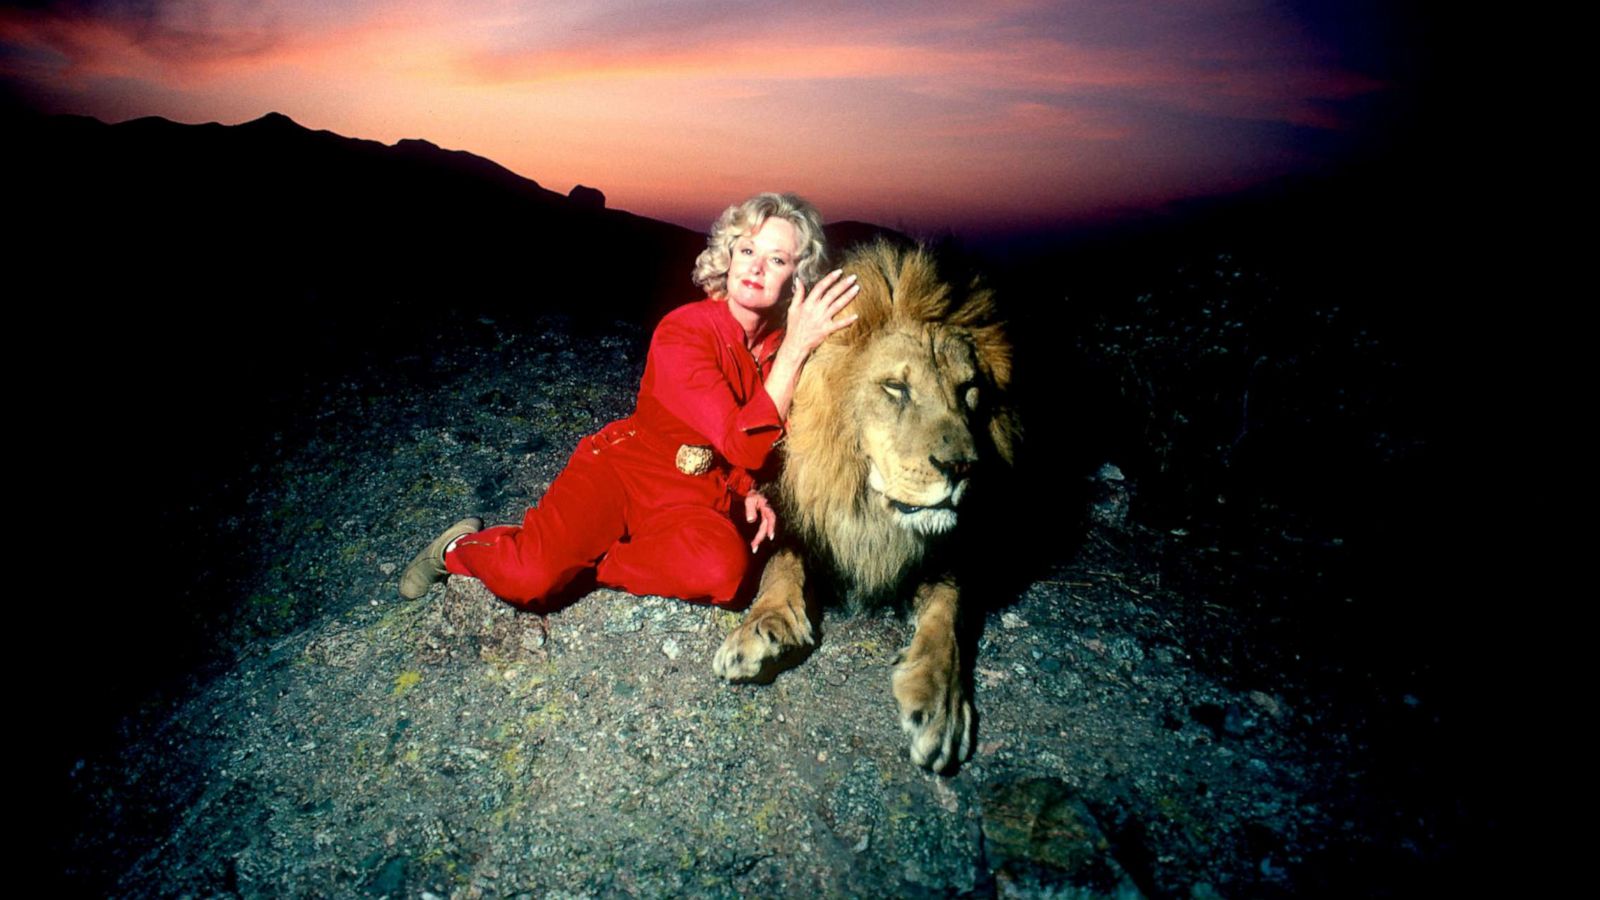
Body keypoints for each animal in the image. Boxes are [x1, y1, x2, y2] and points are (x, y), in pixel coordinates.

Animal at [716, 240, 1017, 771]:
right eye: (896, 388)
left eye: (968, 391)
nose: (961, 468)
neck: (871, 509)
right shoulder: (801, 514)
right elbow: (780, 564)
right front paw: (764, 628)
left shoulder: (954, 552)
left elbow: (950, 612)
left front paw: (940, 703)